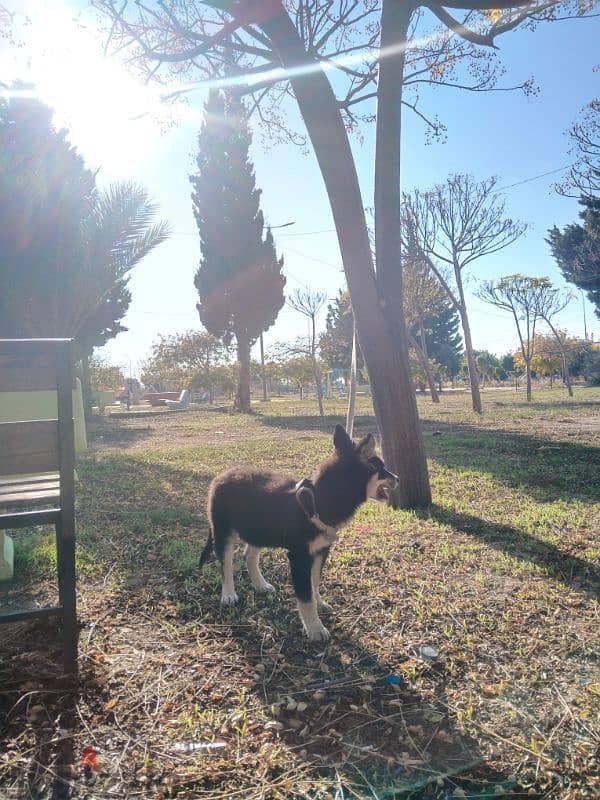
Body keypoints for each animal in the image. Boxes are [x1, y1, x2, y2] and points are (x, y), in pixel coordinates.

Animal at [198, 424, 398, 644]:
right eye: (380, 469)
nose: (397, 478)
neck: (321, 499)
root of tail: (219, 478)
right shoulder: (299, 556)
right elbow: (305, 596)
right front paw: (315, 629)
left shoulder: (320, 551)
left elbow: (314, 583)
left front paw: (320, 605)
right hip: (223, 531)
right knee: (225, 564)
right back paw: (228, 595)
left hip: (258, 529)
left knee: (249, 556)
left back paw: (260, 585)